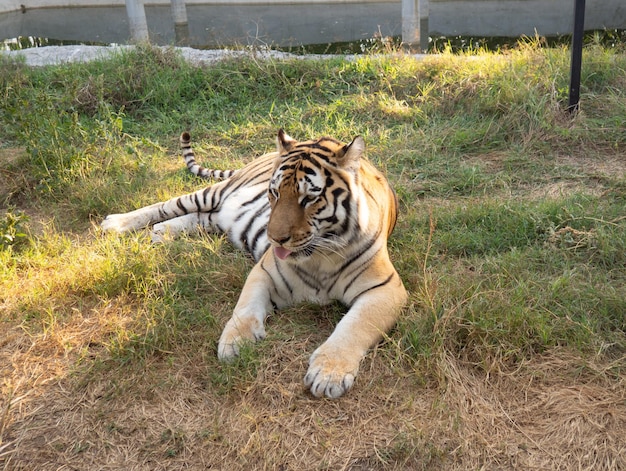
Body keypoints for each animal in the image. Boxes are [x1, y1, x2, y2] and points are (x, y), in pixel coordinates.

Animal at [100, 130, 408, 398]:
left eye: (309, 198)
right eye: (275, 193)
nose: (276, 238)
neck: (321, 257)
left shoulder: (385, 289)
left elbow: (354, 326)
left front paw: (328, 374)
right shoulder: (265, 271)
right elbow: (245, 308)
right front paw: (234, 343)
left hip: (216, 216)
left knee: (201, 217)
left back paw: (162, 232)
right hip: (212, 193)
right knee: (166, 205)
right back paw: (116, 223)